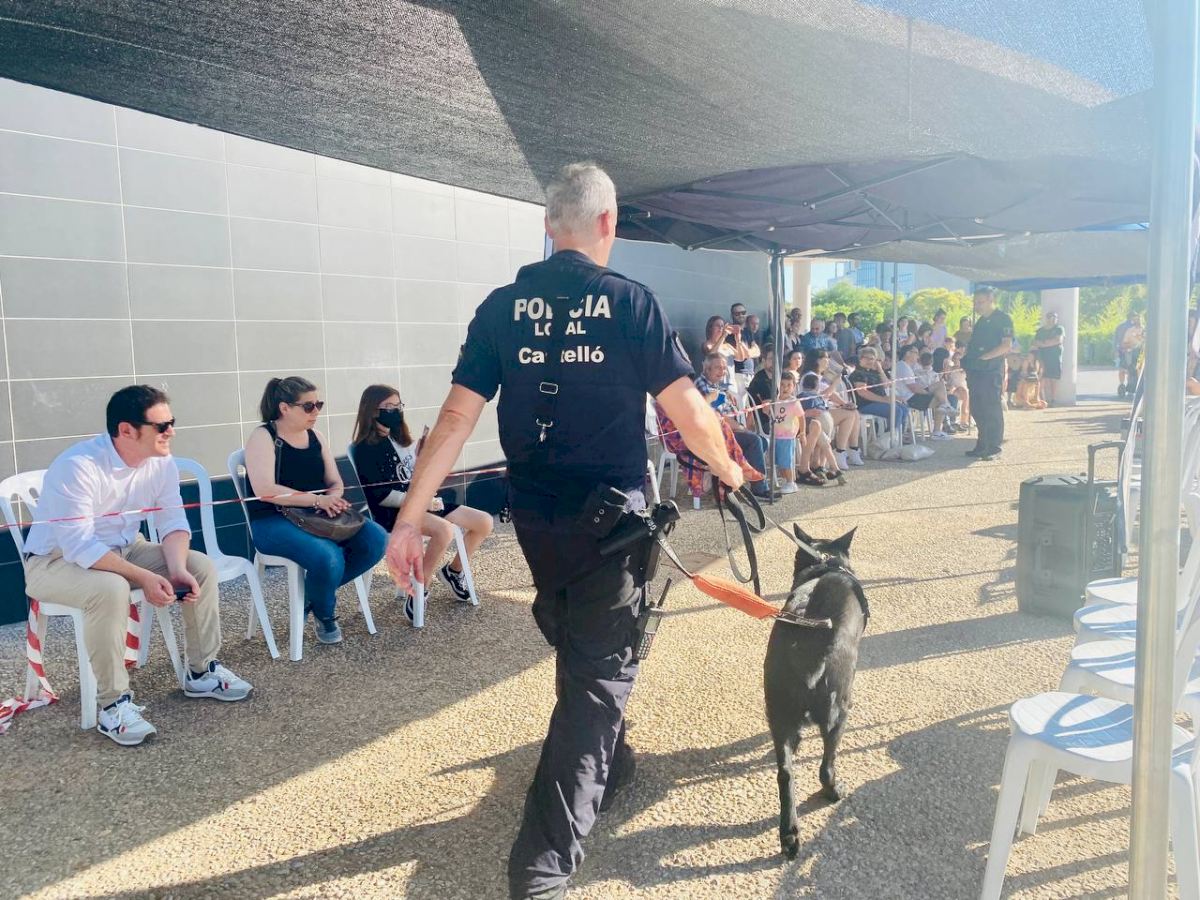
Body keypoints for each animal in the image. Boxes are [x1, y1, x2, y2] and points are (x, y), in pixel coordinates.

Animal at [764, 524, 869, 859]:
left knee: (785, 774)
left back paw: (789, 835)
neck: (826, 563)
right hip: (838, 713)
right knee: (825, 767)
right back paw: (833, 791)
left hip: (779, 715)